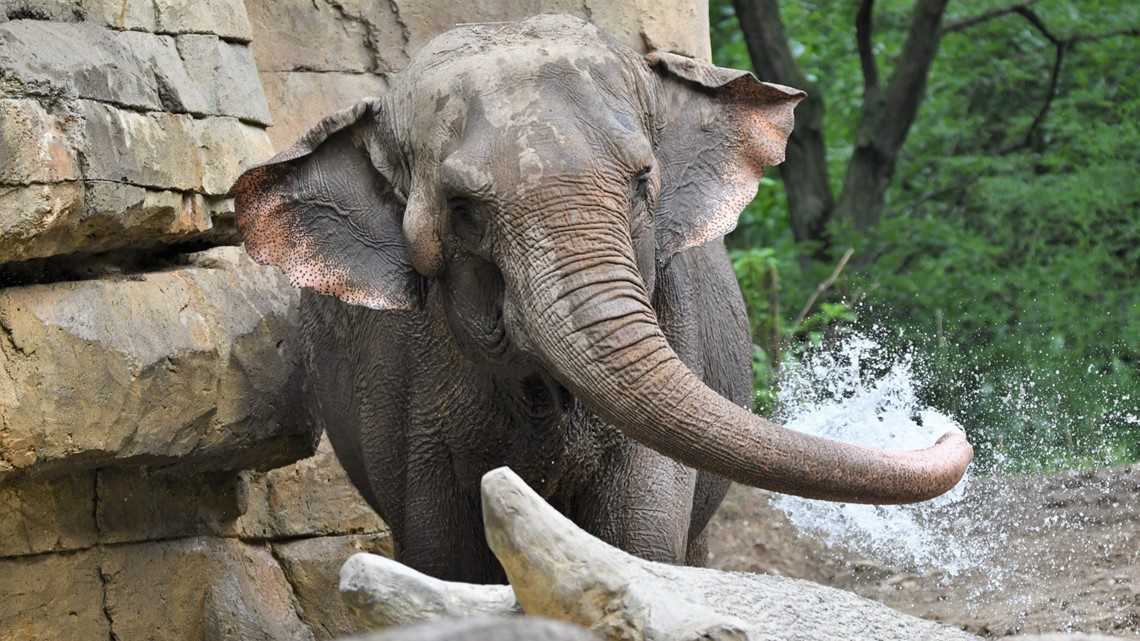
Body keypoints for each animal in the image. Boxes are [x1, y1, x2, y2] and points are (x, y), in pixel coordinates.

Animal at [229, 14, 971, 583]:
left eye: (643, 178)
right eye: (463, 209)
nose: (943, 424)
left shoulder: (678, 320)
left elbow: (637, 545)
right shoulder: (406, 386)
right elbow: (448, 565)